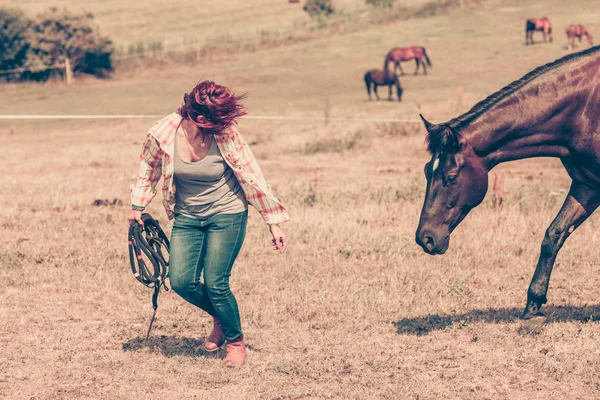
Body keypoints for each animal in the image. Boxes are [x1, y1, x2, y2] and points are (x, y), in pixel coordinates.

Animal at [414, 44, 600, 324]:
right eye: (427, 171)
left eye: (451, 176)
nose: (425, 238)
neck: (586, 107)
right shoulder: (587, 184)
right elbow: (553, 235)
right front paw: (533, 304)